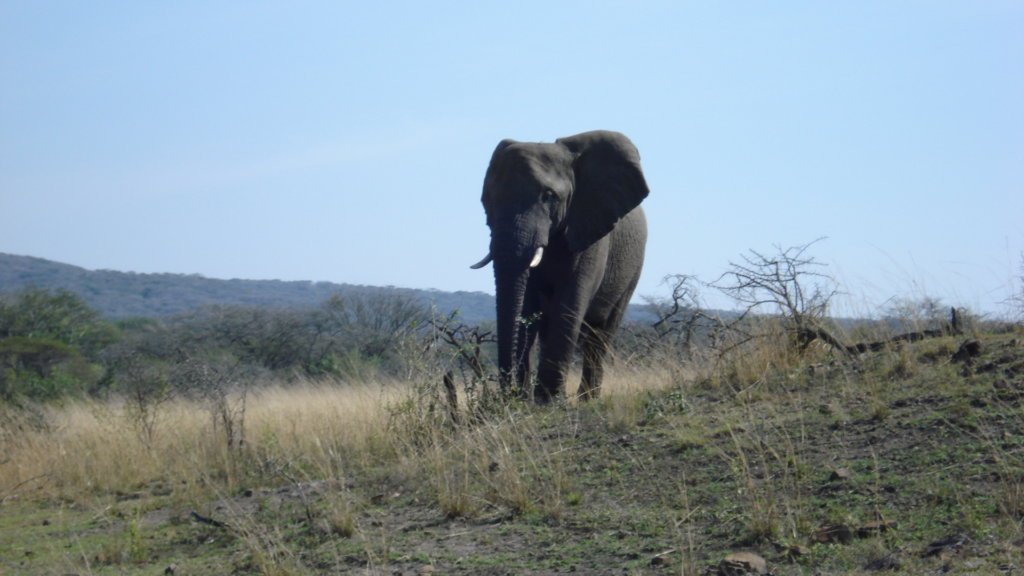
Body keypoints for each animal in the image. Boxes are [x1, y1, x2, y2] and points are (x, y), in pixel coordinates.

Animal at [470, 130, 650, 403]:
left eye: (549, 197)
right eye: (487, 200)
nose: (508, 394)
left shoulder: (590, 232)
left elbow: (569, 301)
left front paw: (548, 401)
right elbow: (527, 303)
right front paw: (526, 399)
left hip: (633, 267)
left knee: (602, 334)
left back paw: (588, 399)